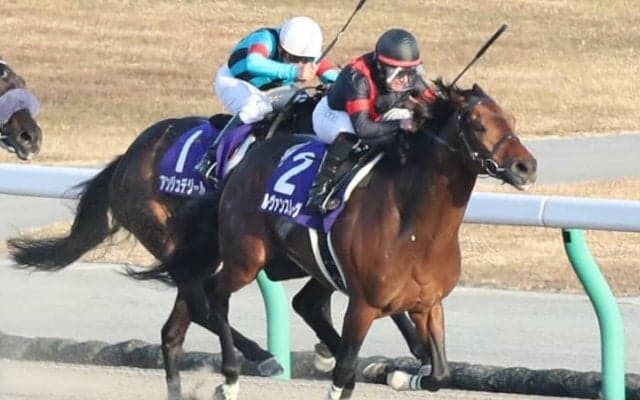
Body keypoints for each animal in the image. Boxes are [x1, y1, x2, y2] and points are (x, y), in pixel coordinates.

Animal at [156, 79, 537, 399]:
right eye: (477, 123)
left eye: (512, 119)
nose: (526, 167)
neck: (417, 230)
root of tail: (242, 161)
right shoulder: (362, 305)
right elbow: (344, 376)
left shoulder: (428, 304)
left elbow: (438, 374)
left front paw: (401, 375)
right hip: (246, 257)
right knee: (215, 295)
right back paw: (233, 376)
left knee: (297, 304)